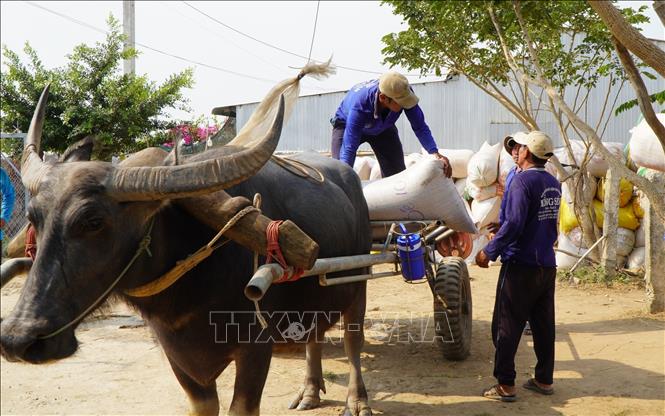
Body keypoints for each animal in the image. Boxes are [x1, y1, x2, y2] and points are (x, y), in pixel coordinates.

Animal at [0, 86, 374, 414]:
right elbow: (203, 405)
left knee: (351, 342)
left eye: (93, 221)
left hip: (358, 284)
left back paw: (357, 401)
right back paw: (309, 391)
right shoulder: (178, 357)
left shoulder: (256, 347)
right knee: (314, 336)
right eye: (34, 217)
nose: (18, 339)